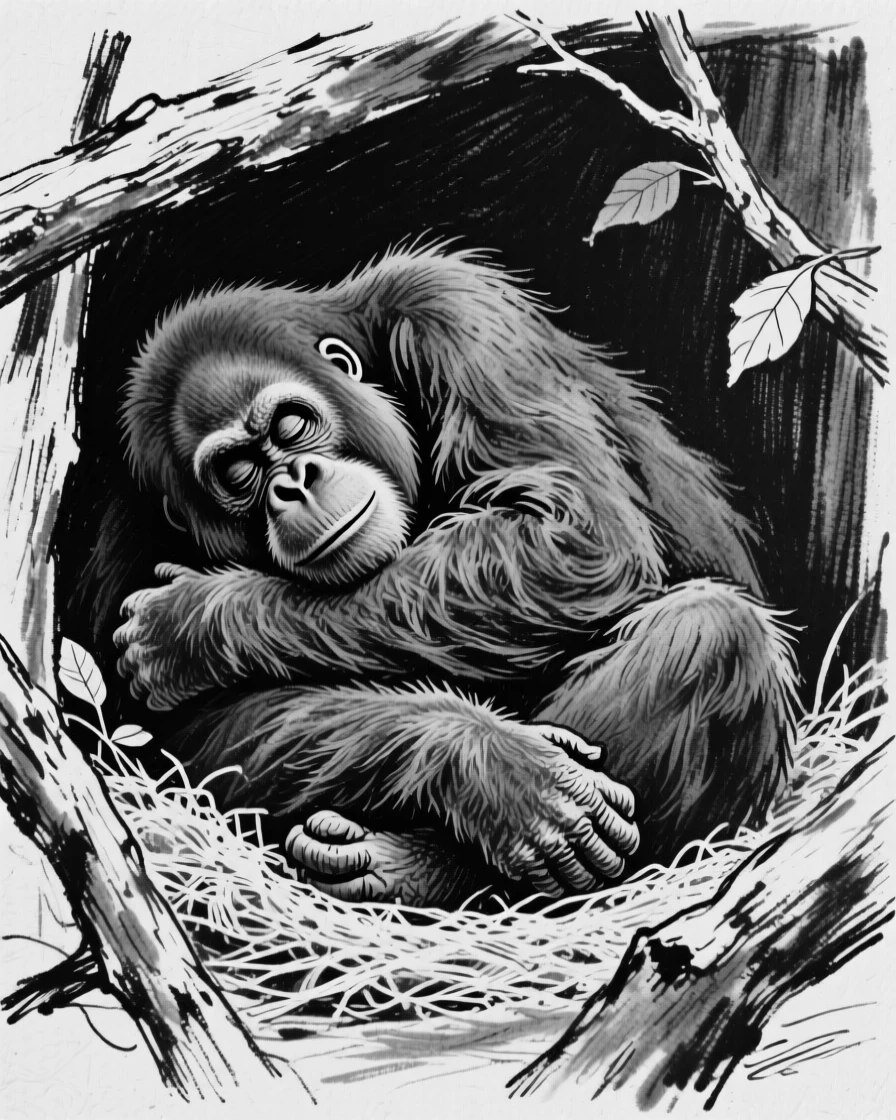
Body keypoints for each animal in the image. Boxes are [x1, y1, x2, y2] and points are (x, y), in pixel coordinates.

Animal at [113, 242, 798, 907]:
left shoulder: (455, 316)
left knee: (715, 629)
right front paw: (497, 773)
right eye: (238, 474)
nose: (293, 483)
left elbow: (578, 542)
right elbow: (207, 736)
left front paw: (195, 624)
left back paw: (425, 868)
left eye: (290, 424)